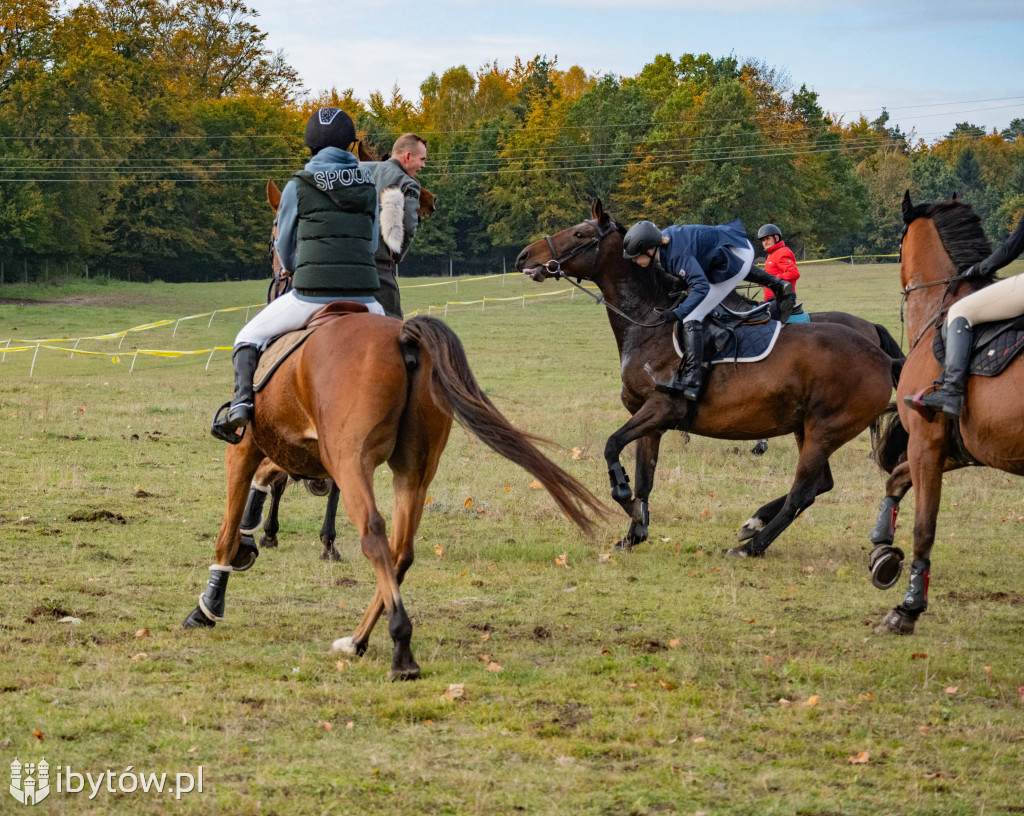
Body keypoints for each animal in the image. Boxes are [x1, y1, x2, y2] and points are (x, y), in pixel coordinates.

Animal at [182, 309, 606, 679]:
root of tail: (402, 337)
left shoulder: (245, 448)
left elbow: (228, 527)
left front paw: (210, 604)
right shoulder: (298, 454)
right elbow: (271, 483)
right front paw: (254, 540)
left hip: (352, 461)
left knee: (373, 535)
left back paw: (400, 650)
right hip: (413, 473)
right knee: (400, 550)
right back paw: (358, 641)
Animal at [516, 199, 901, 552]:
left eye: (579, 234)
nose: (523, 257)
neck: (649, 322)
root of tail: (882, 357)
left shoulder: (662, 408)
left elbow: (612, 446)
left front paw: (623, 496)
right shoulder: (649, 420)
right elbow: (644, 479)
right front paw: (635, 532)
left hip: (824, 430)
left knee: (804, 491)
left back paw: (753, 545)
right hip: (805, 428)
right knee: (821, 484)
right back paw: (753, 523)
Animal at [864, 192, 1024, 634]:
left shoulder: (927, 443)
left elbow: (924, 527)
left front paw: (908, 608)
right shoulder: (955, 449)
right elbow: (896, 480)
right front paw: (882, 547)